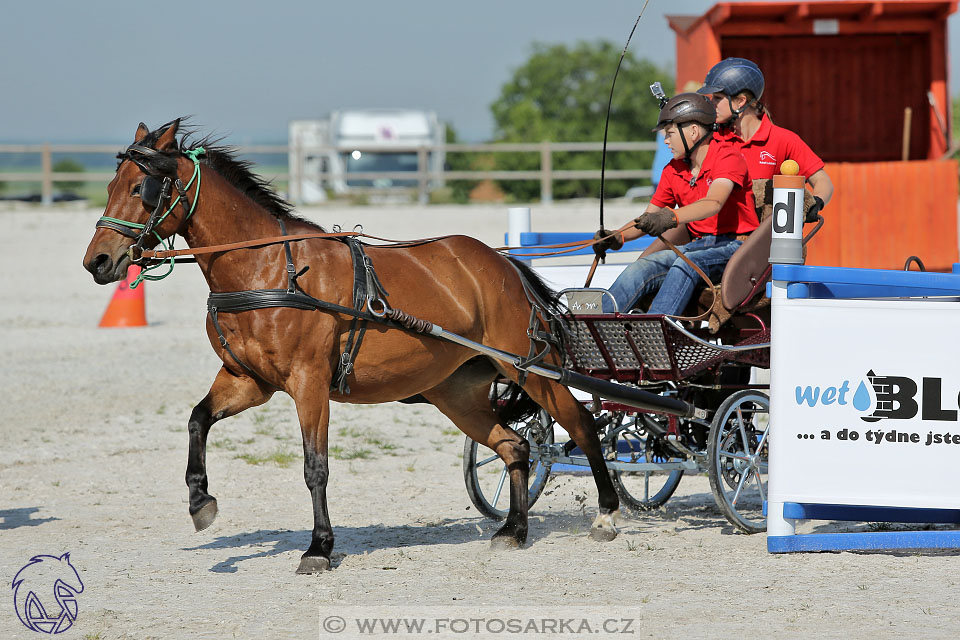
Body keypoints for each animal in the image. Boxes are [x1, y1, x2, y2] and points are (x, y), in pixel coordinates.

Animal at [84, 119, 624, 568]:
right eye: (110, 186)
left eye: (141, 188)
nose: (98, 262)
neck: (269, 269)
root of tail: (504, 264)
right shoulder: (248, 380)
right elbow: (197, 419)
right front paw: (201, 501)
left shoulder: (309, 383)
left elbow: (314, 467)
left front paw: (319, 547)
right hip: (457, 392)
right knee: (515, 446)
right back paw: (514, 530)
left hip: (531, 370)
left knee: (582, 427)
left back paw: (607, 515)